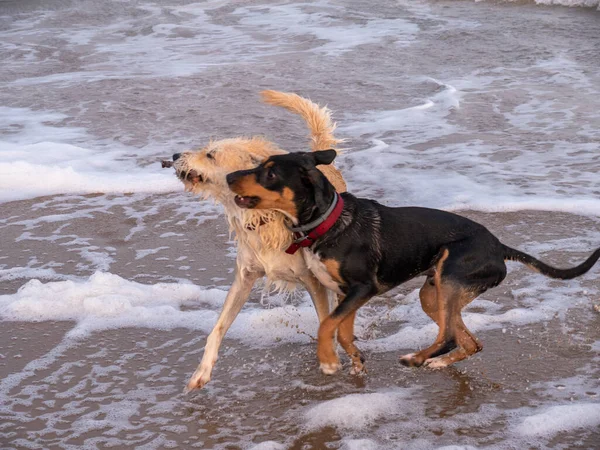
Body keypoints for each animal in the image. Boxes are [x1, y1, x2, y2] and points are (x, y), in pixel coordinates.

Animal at [170, 90, 346, 390]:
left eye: (210, 154)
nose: (174, 155)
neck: (261, 217)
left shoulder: (314, 280)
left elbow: (325, 321)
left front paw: (329, 358)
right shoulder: (244, 277)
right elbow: (218, 328)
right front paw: (201, 372)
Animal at [226, 149, 600, 374]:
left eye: (270, 174)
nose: (228, 177)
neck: (326, 222)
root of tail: (498, 246)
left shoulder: (362, 288)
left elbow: (326, 325)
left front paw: (329, 361)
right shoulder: (348, 294)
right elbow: (342, 330)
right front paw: (355, 360)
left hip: (449, 277)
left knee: (449, 336)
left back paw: (418, 358)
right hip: (433, 292)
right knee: (469, 341)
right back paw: (437, 363)